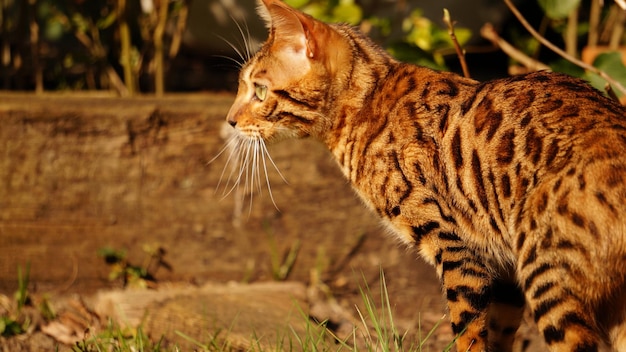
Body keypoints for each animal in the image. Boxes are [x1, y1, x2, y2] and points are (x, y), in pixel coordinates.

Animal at [222, 0, 624, 350]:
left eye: (259, 90)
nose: (230, 120)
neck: (368, 106)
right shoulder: (505, 271)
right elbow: (498, 334)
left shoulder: (459, 248)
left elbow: (469, 334)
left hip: (548, 275)